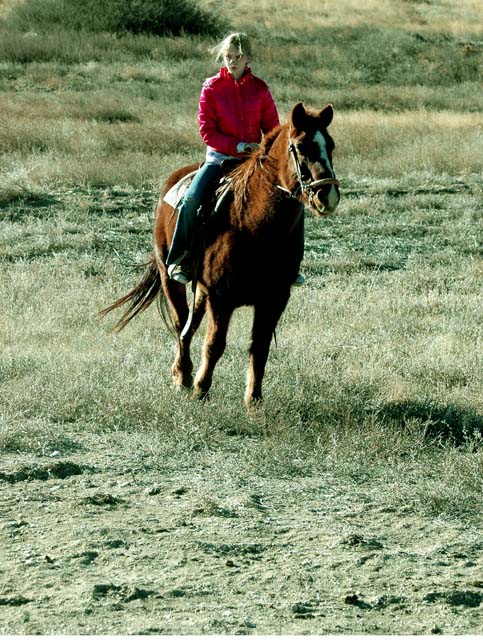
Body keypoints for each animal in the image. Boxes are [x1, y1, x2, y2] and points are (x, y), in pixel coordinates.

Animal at [102, 103, 340, 408]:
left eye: (330, 145)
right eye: (300, 146)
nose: (328, 195)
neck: (254, 225)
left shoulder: (274, 298)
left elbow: (260, 347)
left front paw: (253, 399)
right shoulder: (221, 296)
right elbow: (215, 344)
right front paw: (200, 390)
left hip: (201, 291)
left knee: (190, 325)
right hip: (171, 279)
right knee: (181, 324)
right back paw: (183, 375)